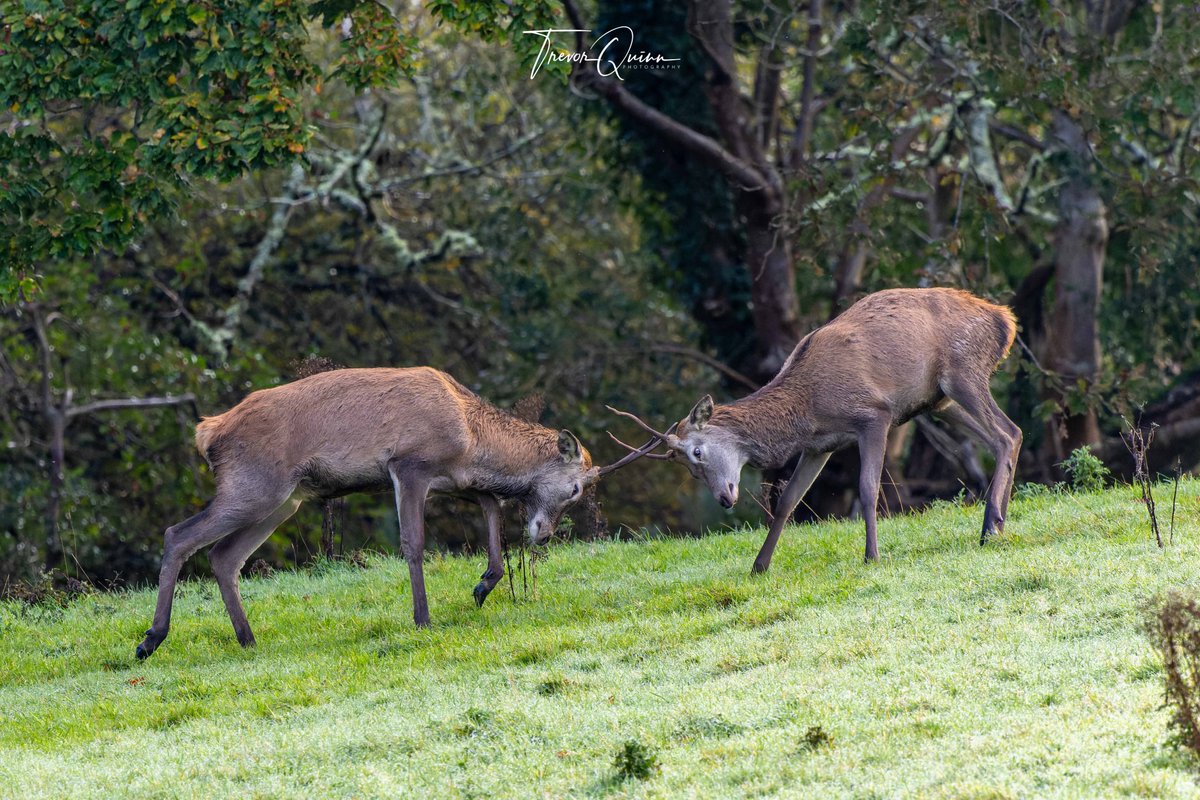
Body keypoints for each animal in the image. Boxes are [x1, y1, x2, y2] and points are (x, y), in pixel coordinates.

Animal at [135, 366, 652, 660]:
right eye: (574, 488)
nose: (543, 535)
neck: (472, 436)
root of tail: (208, 431)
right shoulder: (409, 465)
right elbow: (413, 543)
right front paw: (423, 618)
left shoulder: (452, 479)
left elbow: (490, 507)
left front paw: (483, 584)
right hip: (255, 486)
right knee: (178, 534)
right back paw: (151, 639)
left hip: (285, 500)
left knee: (224, 556)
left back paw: (247, 640)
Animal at [608, 288, 1023, 572]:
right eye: (690, 471)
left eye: (697, 452)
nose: (724, 498)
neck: (806, 410)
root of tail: (1005, 320)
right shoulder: (818, 446)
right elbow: (787, 501)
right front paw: (759, 565)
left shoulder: (875, 415)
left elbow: (868, 489)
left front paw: (872, 555)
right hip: (938, 401)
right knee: (1010, 435)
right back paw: (999, 521)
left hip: (963, 372)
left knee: (1005, 433)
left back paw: (989, 527)